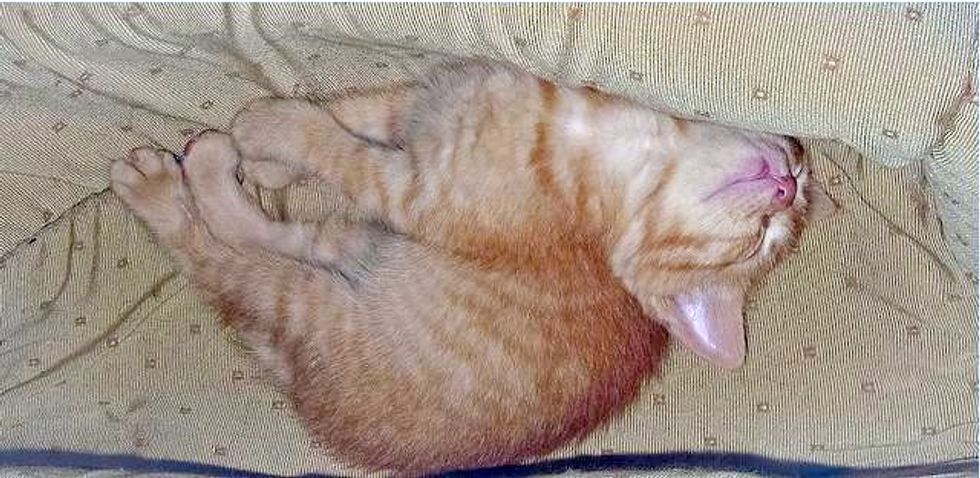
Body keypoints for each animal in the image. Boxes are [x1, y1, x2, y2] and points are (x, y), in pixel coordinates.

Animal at [110, 60, 832, 475]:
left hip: (312, 302)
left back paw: (174, 183)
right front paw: (266, 159)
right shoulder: (423, 102)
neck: (601, 146)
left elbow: (340, 149)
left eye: (761, 244)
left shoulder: (410, 190)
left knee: (228, 265)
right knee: (283, 236)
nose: (785, 187)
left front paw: (270, 131)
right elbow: (358, 108)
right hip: (358, 246)